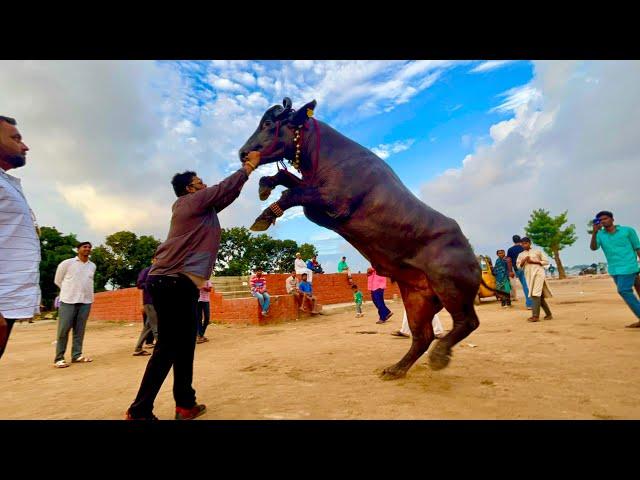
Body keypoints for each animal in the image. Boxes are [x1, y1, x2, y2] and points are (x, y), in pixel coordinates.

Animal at [240, 97, 480, 378]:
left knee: (467, 321)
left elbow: (292, 194)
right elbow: (285, 178)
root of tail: (469, 249)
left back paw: (439, 356)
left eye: (268, 123)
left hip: (450, 286)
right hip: (417, 296)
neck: (327, 158)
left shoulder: (332, 203)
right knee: (423, 335)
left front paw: (264, 216)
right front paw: (264, 187)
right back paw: (396, 369)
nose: (242, 153)